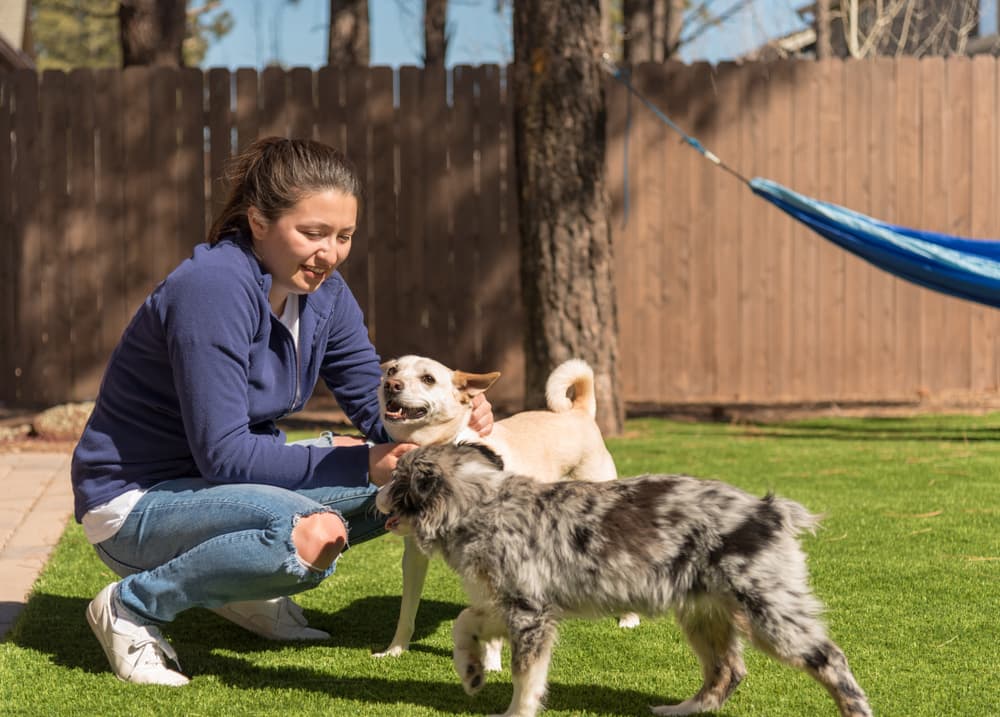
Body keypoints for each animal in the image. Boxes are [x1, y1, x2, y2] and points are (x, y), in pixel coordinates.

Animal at [372, 356, 636, 668]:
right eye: (392, 370)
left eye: (428, 379)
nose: (391, 384)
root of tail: (579, 413)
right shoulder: (414, 557)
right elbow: (407, 611)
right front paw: (395, 649)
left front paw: (493, 664)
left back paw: (629, 617)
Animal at [374, 442, 868, 716]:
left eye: (396, 478)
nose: (374, 491)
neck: (480, 504)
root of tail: (769, 511)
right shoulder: (517, 604)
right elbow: (464, 621)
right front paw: (472, 672)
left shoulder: (530, 613)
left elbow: (525, 676)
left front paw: (513, 711)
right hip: (704, 614)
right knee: (727, 671)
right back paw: (677, 710)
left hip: (769, 611)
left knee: (831, 659)